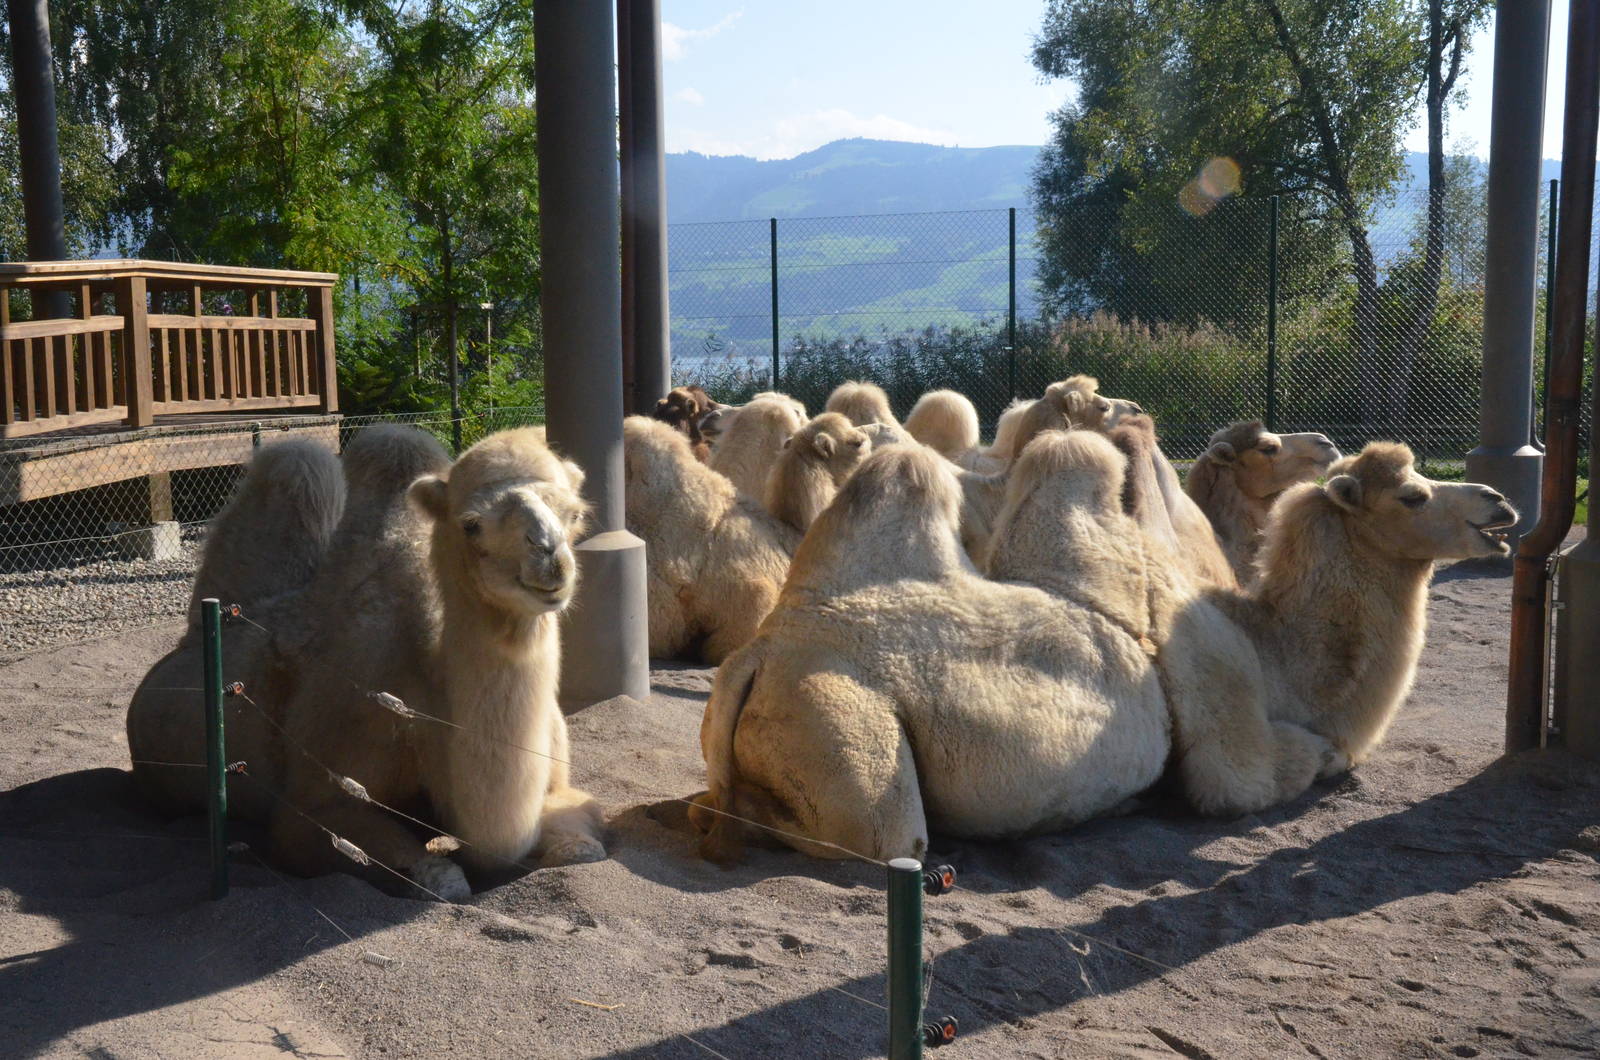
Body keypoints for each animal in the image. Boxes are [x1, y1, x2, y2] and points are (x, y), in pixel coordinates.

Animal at [129, 426, 604, 900]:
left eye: (575, 514)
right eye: (471, 524)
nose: (550, 559)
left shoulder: (557, 784)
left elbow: (583, 848)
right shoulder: (316, 800)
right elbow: (441, 879)